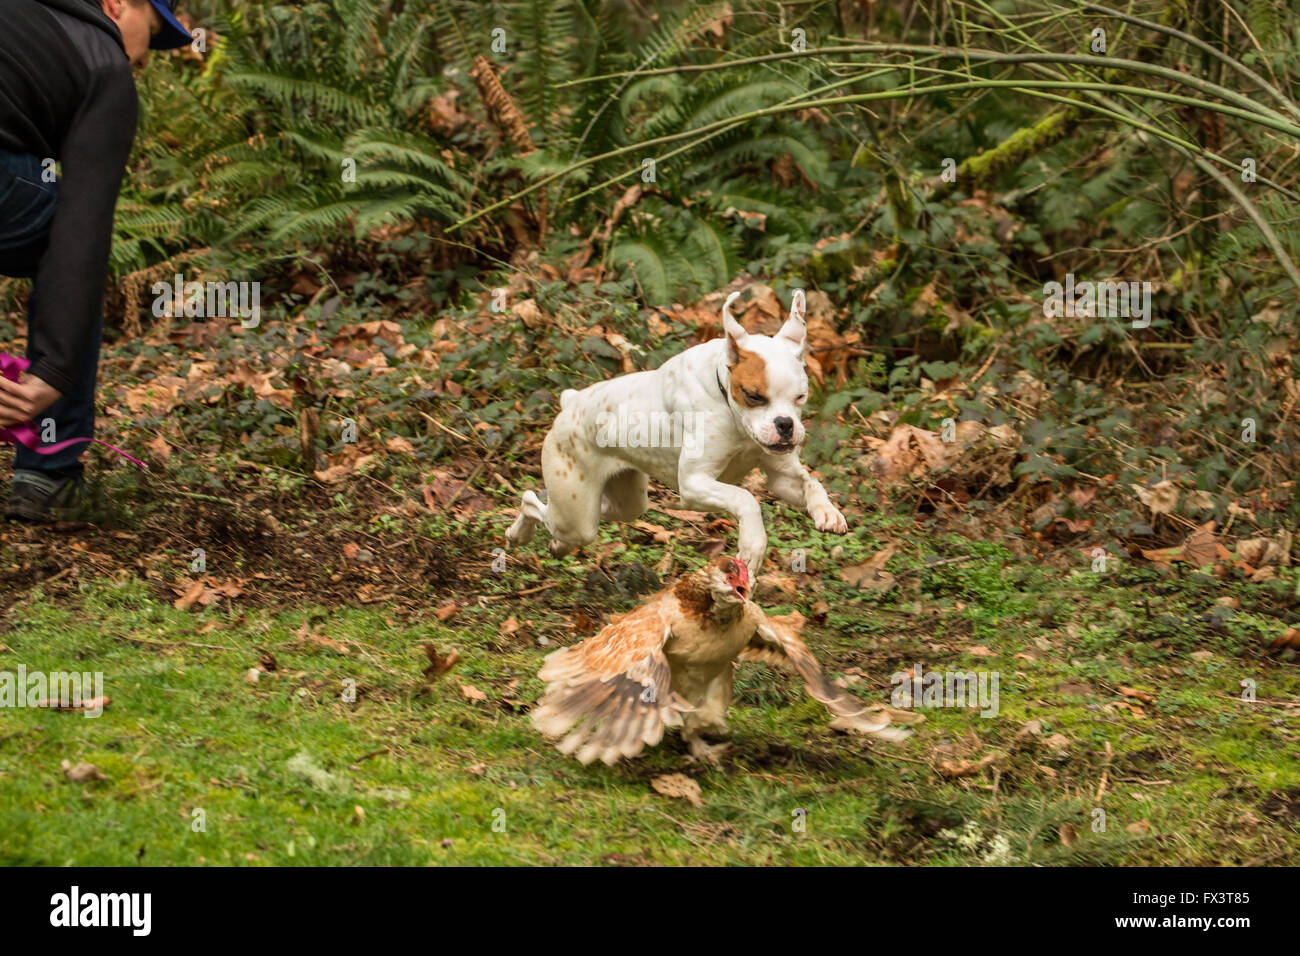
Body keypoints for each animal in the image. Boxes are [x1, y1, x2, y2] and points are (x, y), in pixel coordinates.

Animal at [501, 291, 847, 574]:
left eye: (801, 396)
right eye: (754, 395)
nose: (785, 424)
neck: (728, 405)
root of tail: (570, 402)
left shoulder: (780, 475)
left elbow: (810, 482)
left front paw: (826, 512)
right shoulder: (694, 484)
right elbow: (747, 498)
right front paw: (753, 544)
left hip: (623, 503)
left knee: (581, 516)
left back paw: (555, 546)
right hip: (575, 514)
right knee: (532, 502)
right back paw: (518, 534)